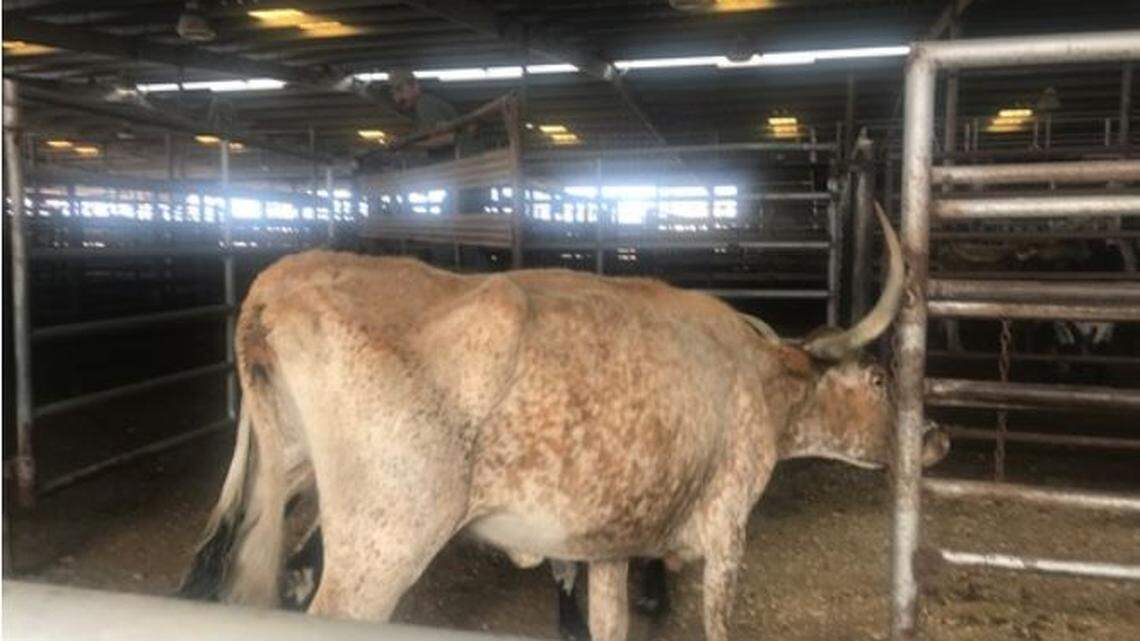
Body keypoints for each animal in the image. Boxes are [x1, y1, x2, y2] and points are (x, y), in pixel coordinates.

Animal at [180, 205, 949, 641]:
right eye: (881, 379)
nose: (936, 437)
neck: (754, 375)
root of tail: (280, 280)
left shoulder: (608, 546)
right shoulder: (728, 529)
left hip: (281, 482)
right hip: (381, 544)